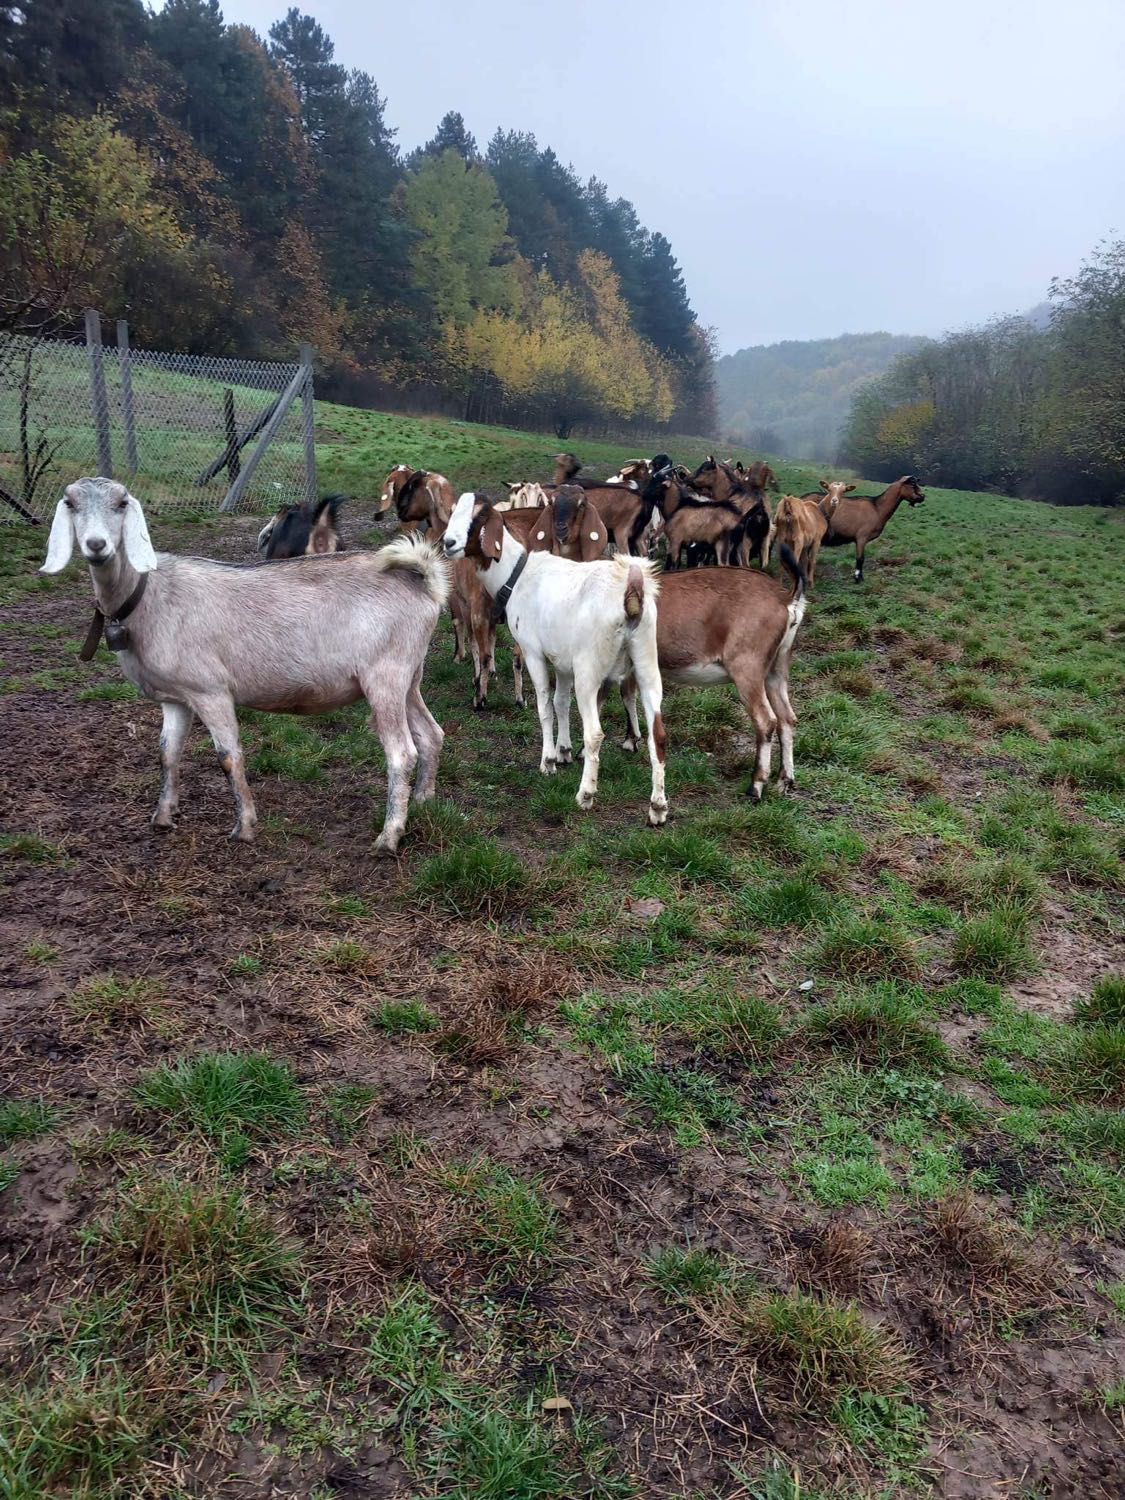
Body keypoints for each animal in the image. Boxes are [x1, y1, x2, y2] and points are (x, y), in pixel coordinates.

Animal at [44, 480, 450, 858]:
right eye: (71, 503)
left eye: (122, 503)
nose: (97, 545)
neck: (148, 595)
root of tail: (423, 582)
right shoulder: (175, 698)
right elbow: (167, 753)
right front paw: (162, 816)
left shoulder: (210, 691)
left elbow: (229, 756)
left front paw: (245, 827)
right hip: (408, 677)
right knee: (432, 734)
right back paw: (422, 800)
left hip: (384, 677)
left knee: (401, 754)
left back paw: (389, 835)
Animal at [444, 492, 669, 828]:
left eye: (479, 517)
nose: (448, 543)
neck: (517, 575)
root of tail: (631, 589)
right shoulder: (563, 661)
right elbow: (561, 702)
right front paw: (564, 750)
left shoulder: (534, 652)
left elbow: (544, 705)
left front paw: (548, 760)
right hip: (646, 661)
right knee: (659, 734)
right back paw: (658, 808)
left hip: (589, 670)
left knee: (595, 733)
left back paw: (586, 794)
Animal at [618, 540, 810, 798]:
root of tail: (786, 599)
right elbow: (628, 695)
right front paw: (631, 740)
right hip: (777, 667)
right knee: (786, 718)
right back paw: (785, 780)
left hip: (747, 666)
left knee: (766, 720)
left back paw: (756, 786)